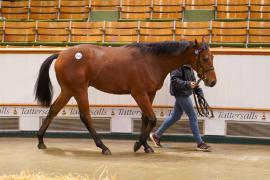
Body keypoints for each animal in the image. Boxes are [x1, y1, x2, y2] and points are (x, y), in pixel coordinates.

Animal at [34, 38, 215, 155]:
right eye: (205, 58)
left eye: (212, 57)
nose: (213, 81)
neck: (152, 60)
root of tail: (61, 54)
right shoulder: (139, 93)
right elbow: (152, 118)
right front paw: (138, 144)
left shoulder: (149, 93)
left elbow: (145, 118)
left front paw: (146, 146)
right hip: (79, 91)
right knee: (86, 117)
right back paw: (103, 147)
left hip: (68, 90)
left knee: (53, 110)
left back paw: (41, 141)